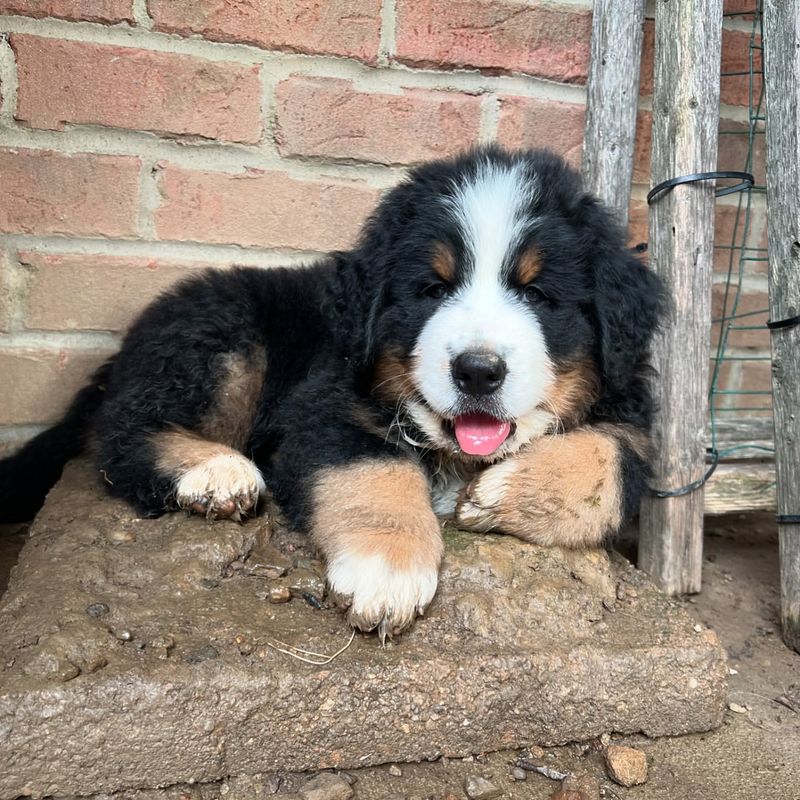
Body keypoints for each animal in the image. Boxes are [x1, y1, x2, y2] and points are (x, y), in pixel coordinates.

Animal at [0, 148, 664, 636]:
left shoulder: (629, 409)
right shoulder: (324, 406)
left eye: (537, 295)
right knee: (121, 433)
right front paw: (389, 568)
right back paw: (214, 473)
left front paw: (503, 493)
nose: (477, 371)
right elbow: (372, 466)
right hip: (225, 339)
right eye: (432, 289)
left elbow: (614, 461)